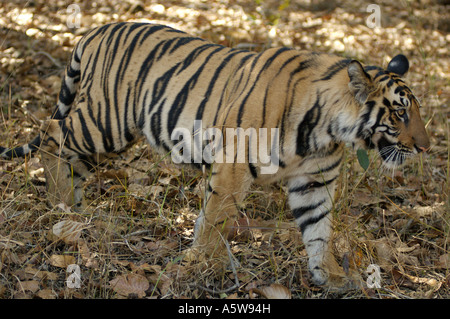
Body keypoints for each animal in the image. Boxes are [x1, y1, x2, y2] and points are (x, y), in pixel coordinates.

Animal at [0, 22, 428, 290]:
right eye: (400, 112)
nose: (425, 147)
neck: (326, 131)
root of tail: (95, 30)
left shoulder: (315, 182)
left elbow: (320, 230)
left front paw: (332, 276)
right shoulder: (233, 166)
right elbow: (215, 219)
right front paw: (198, 266)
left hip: (108, 135)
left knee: (70, 156)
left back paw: (73, 210)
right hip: (105, 121)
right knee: (51, 135)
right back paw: (58, 203)